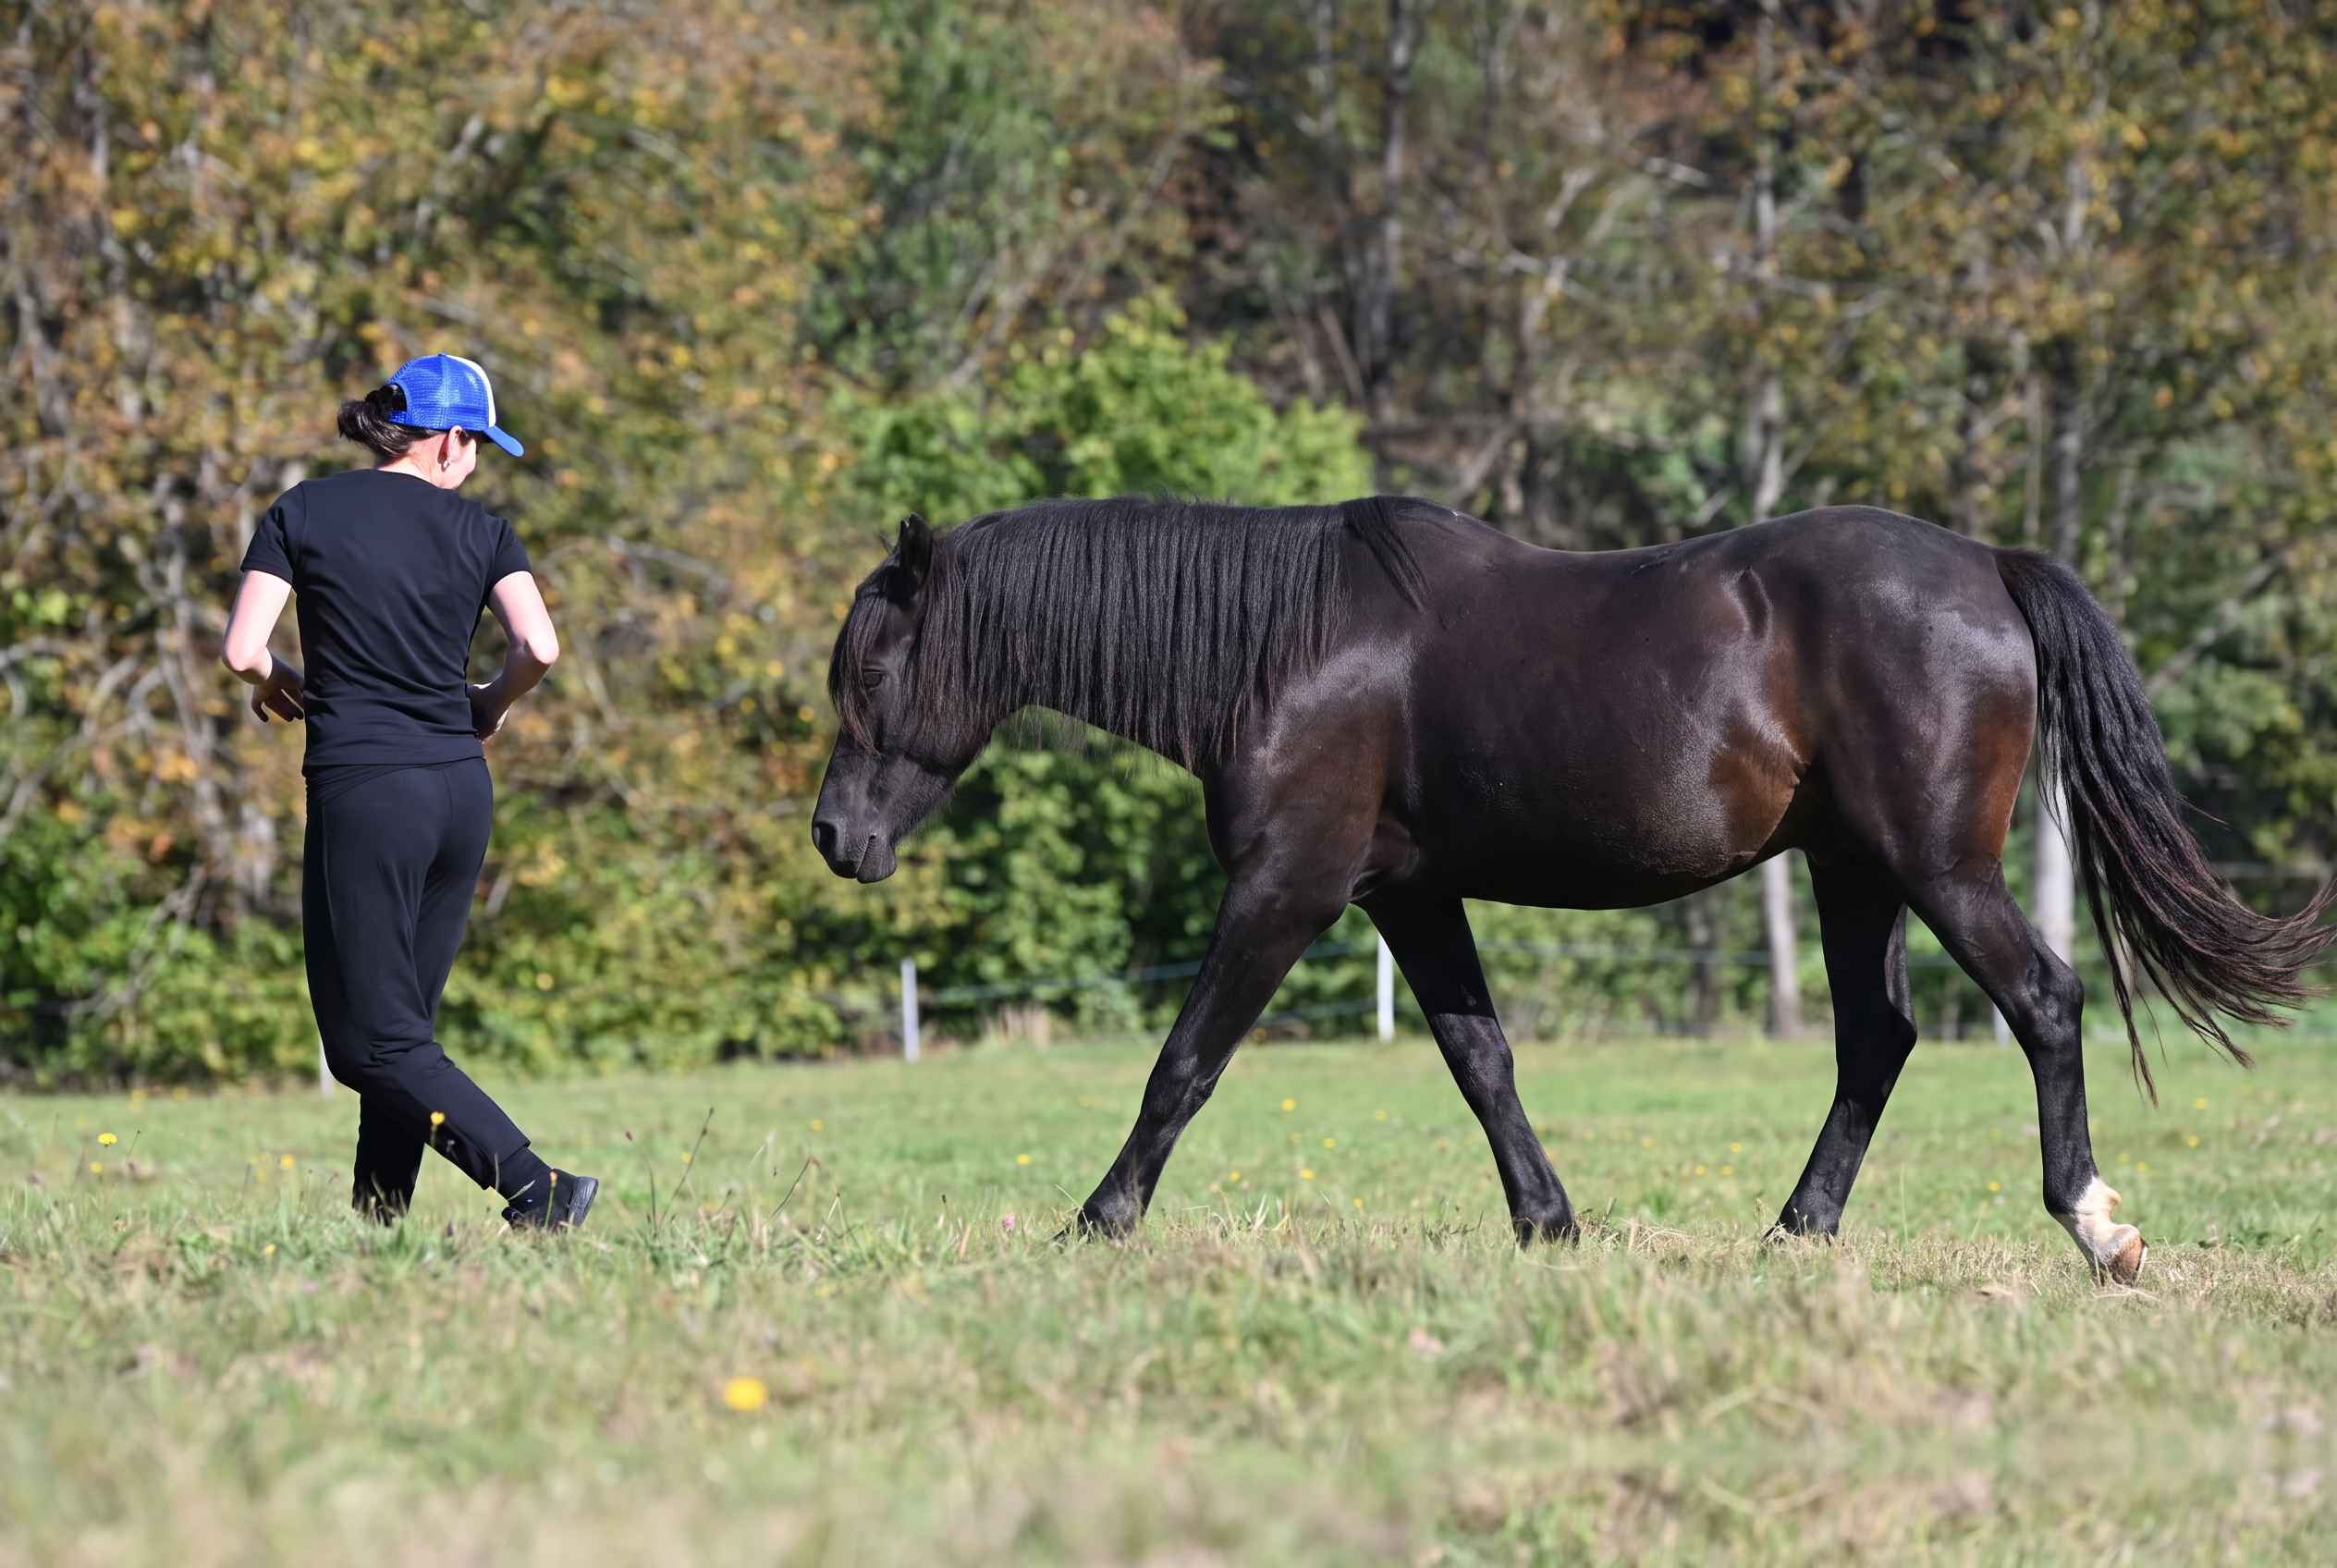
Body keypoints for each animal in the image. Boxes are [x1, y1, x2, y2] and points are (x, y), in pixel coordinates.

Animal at [811, 496, 2331, 1283]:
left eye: (872, 669)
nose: (835, 838)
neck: (1284, 646)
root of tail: (1989, 569)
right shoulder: (1406, 900)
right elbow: (1480, 1059)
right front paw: (1548, 1222)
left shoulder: (1290, 885)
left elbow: (1184, 1060)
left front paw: (1100, 1219)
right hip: (1855, 875)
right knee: (1877, 1040)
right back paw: (1796, 1231)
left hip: (1936, 868)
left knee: (2044, 1002)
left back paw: (2095, 1227)